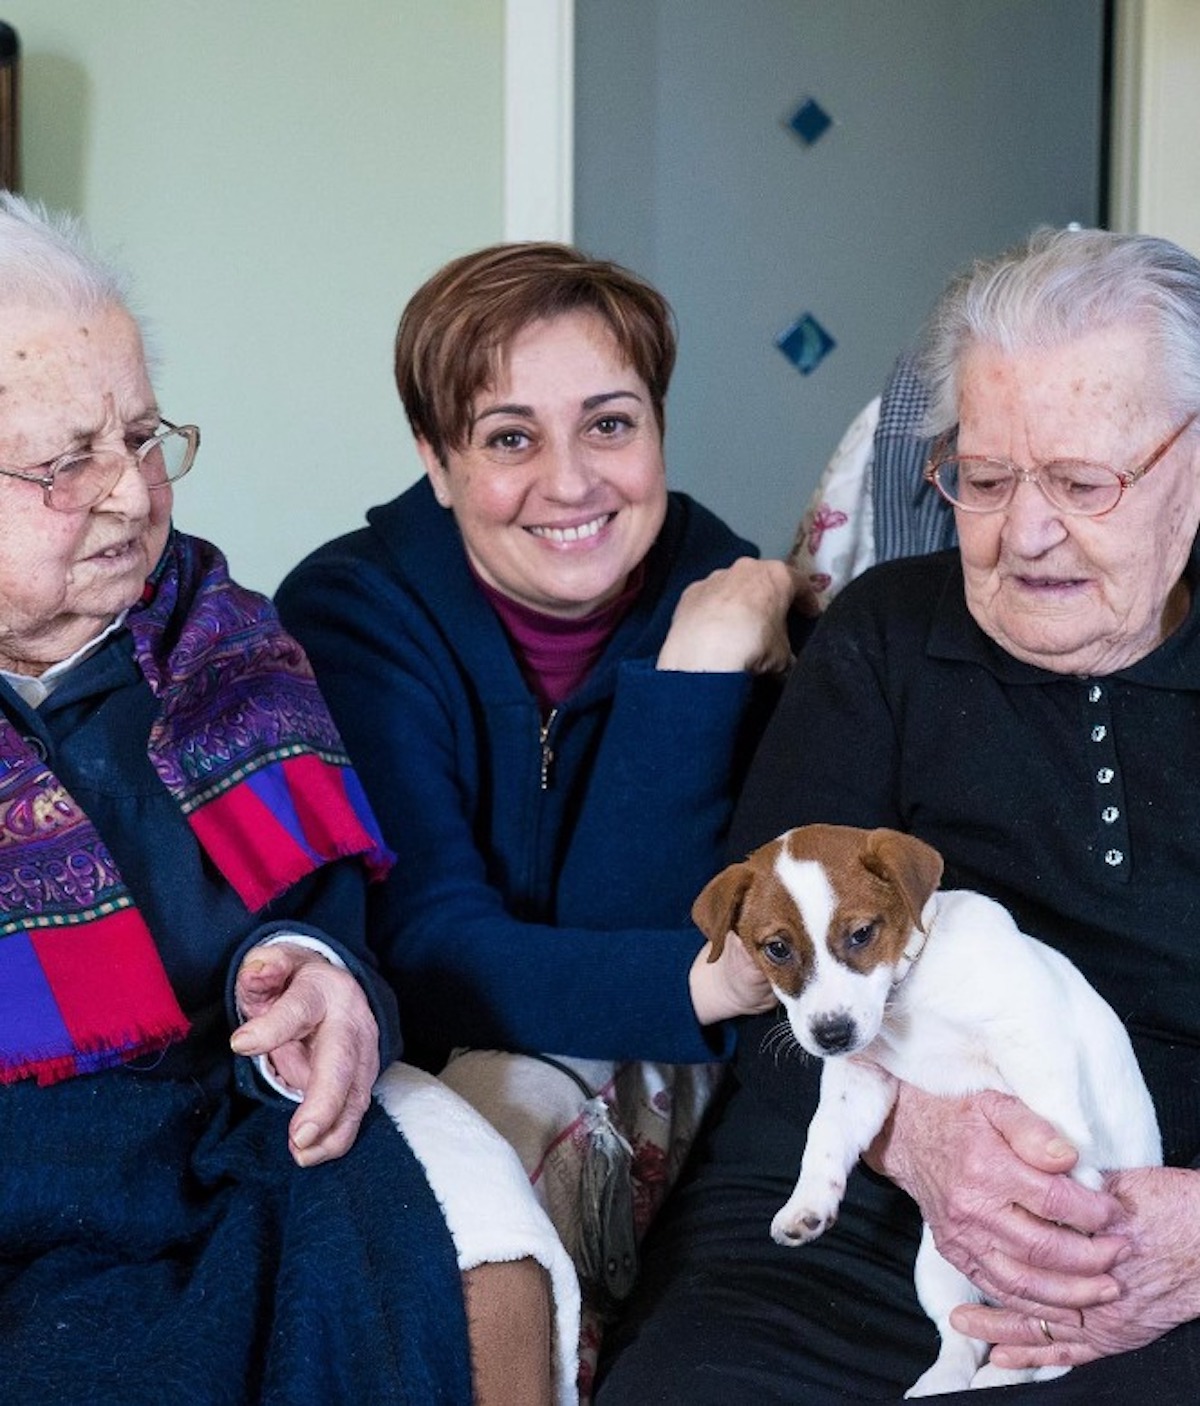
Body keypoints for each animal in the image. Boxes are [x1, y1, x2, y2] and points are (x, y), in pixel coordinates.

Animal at [692, 821, 1159, 1394]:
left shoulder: (1027, 1031)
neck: (906, 997)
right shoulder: (861, 1080)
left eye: (861, 934)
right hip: (938, 1268)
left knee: (1053, 1349)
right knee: (973, 1338)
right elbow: (824, 1138)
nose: (831, 1035)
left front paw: (1067, 1181)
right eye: (777, 948)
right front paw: (806, 1206)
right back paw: (948, 1381)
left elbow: (1054, 1115)